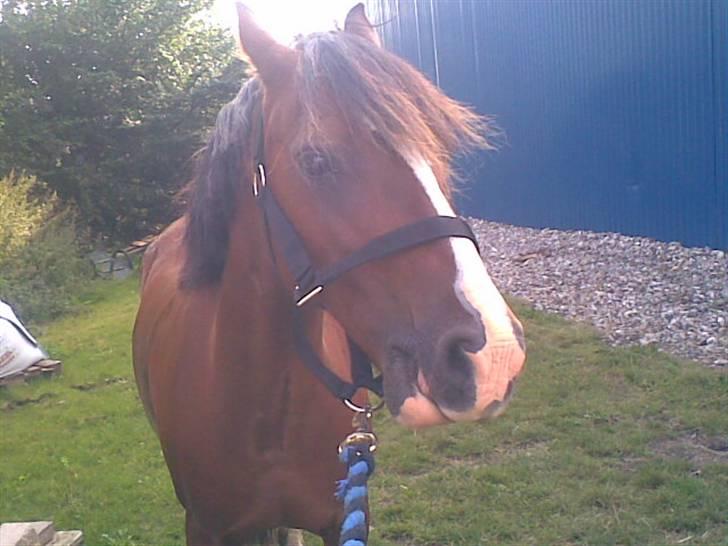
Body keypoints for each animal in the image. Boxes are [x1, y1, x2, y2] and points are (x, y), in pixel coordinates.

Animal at [132, 4, 526, 545]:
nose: (493, 358)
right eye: (314, 160)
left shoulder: (338, 517)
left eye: (437, 151)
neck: (262, 412)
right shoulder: (206, 526)